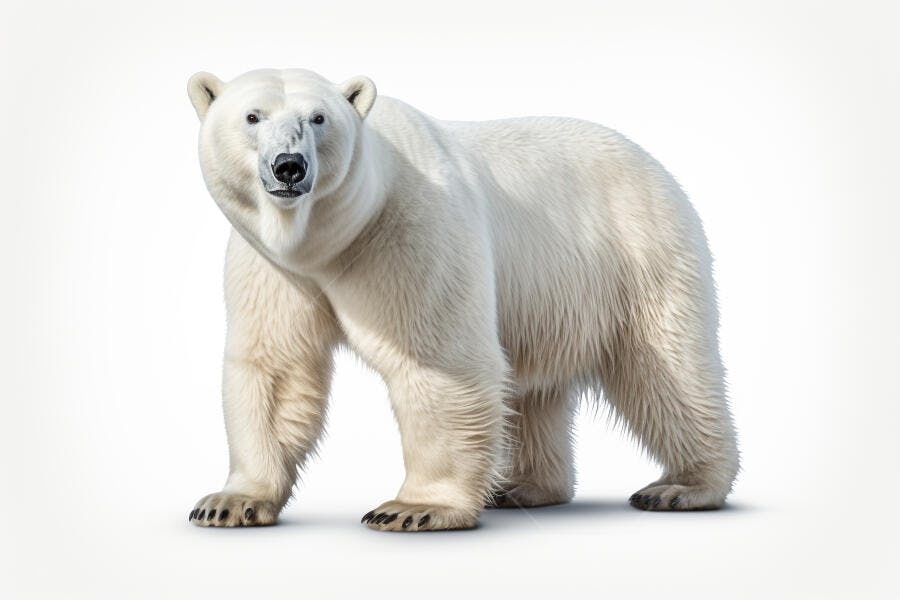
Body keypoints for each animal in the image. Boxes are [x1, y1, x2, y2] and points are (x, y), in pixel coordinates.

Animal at [186, 68, 739, 531]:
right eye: (252, 116)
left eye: (318, 118)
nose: (289, 167)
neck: (330, 239)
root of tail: (652, 163)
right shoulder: (273, 268)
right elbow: (276, 368)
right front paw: (230, 502)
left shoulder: (410, 230)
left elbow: (437, 360)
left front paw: (412, 508)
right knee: (533, 389)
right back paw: (521, 487)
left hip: (638, 249)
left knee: (666, 368)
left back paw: (681, 487)